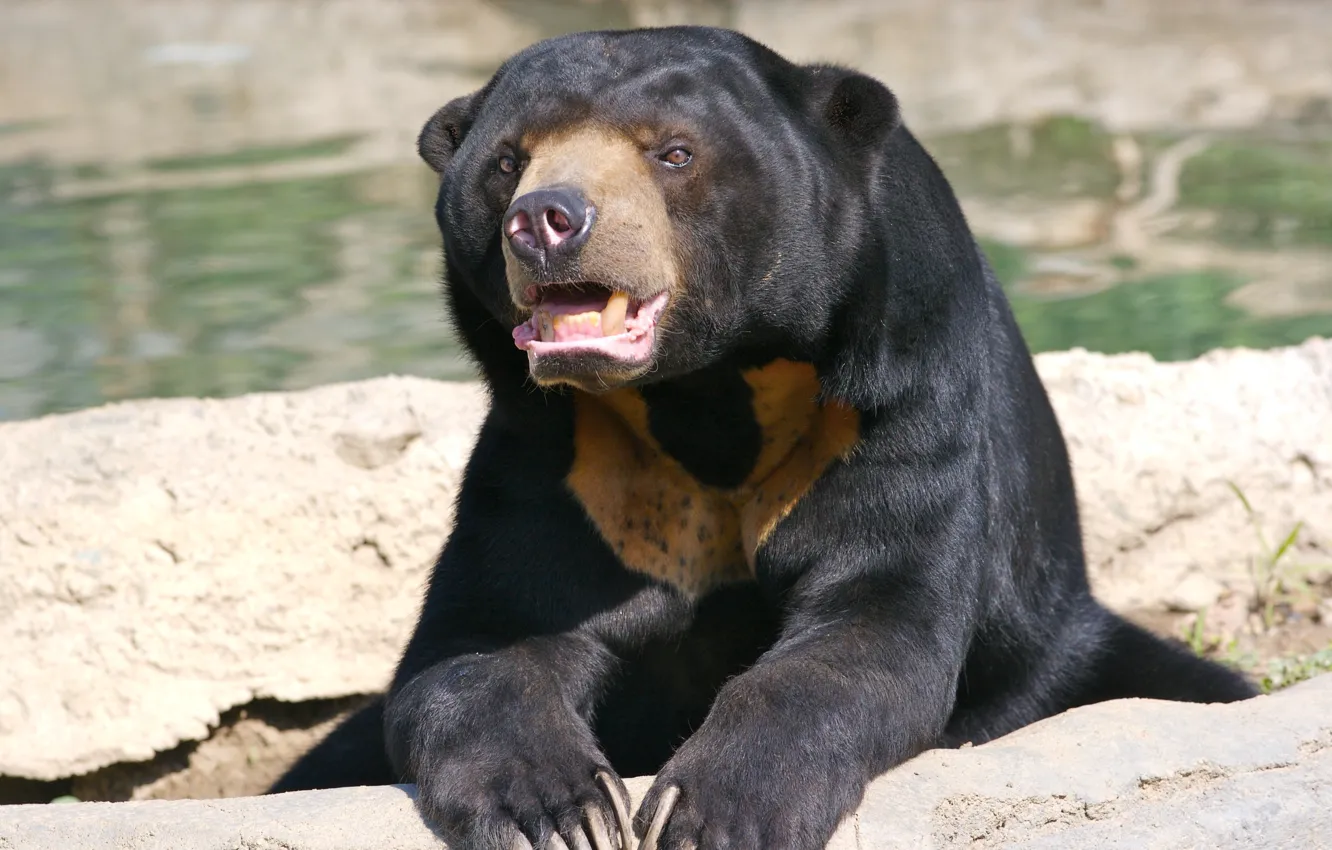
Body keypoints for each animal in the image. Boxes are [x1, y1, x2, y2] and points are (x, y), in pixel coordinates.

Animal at [270, 25, 1258, 850]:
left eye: (673, 152)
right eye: (507, 162)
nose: (546, 220)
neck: (704, 391)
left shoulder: (895, 403)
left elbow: (870, 619)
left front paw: (707, 812)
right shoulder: (564, 455)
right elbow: (487, 638)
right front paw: (562, 814)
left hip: (1059, 639)